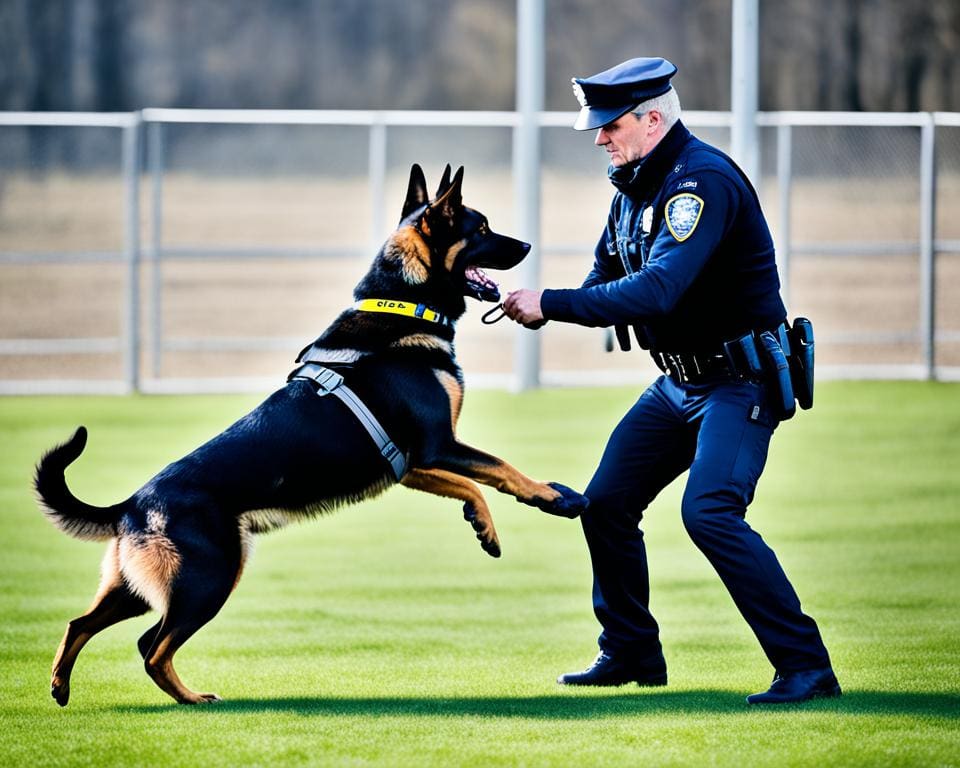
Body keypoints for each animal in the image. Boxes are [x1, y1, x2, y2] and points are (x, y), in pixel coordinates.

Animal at [35, 165, 584, 704]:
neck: (405, 304)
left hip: (138, 585)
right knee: (152, 646)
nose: (528, 245)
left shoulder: (413, 466)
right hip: (210, 579)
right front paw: (547, 496)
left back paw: (61, 686)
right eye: (483, 229)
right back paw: (190, 698)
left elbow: (472, 485)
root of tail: (131, 503)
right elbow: (500, 469)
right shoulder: (438, 446)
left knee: (80, 624)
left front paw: (482, 524)